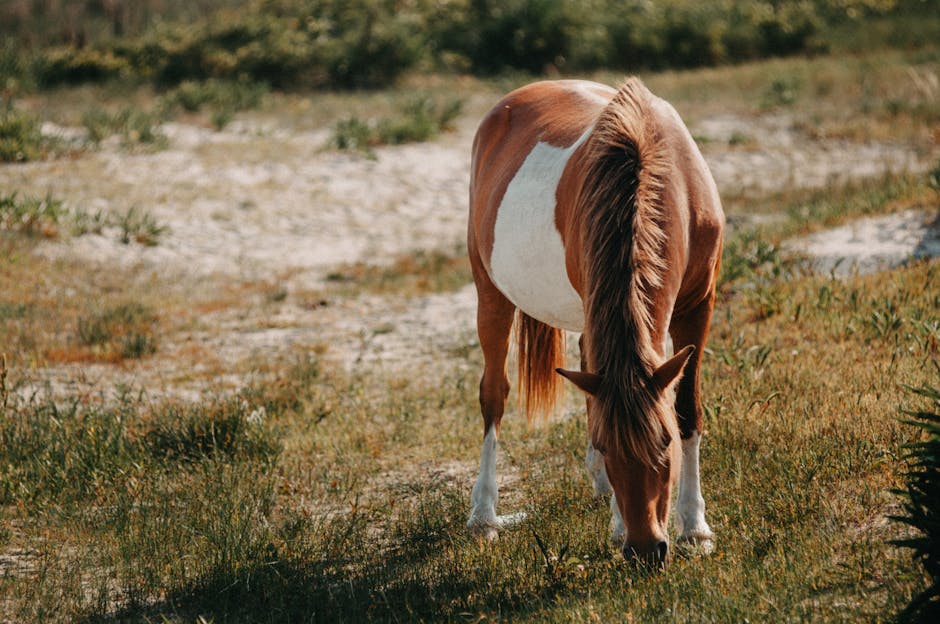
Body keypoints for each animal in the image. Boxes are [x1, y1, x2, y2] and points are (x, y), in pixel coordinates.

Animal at [466, 78, 724, 564]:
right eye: (608, 446)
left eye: (665, 442)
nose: (645, 551)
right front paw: (621, 523)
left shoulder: (699, 304)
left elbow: (687, 407)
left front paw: (696, 528)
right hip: (490, 292)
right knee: (494, 395)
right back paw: (484, 516)